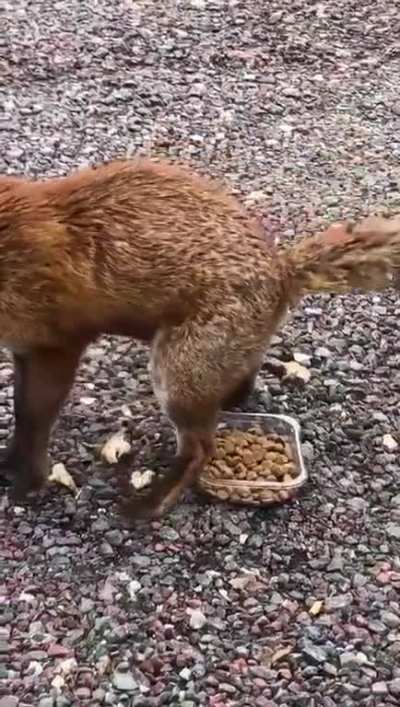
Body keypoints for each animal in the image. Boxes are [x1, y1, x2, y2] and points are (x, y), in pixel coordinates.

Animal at [0, 157, 399, 521]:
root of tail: (281, 269)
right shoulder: (23, 350)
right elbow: (21, 413)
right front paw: (10, 459)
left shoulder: (56, 347)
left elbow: (33, 421)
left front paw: (27, 482)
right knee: (242, 381)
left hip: (175, 374)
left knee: (201, 449)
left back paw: (150, 504)